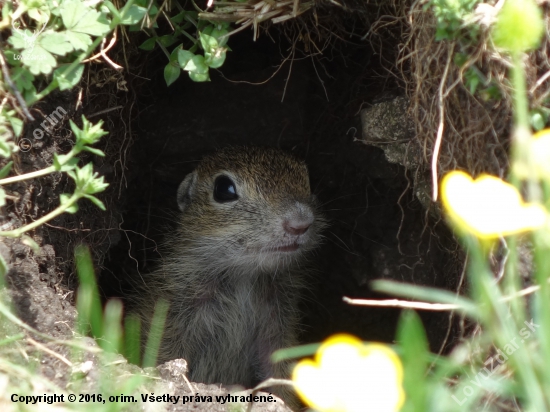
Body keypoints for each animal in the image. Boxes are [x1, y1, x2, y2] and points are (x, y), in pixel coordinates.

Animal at [135, 147, 326, 402]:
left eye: (307, 178)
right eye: (223, 189)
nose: (300, 223)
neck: (242, 275)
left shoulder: (277, 325)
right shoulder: (171, 318)